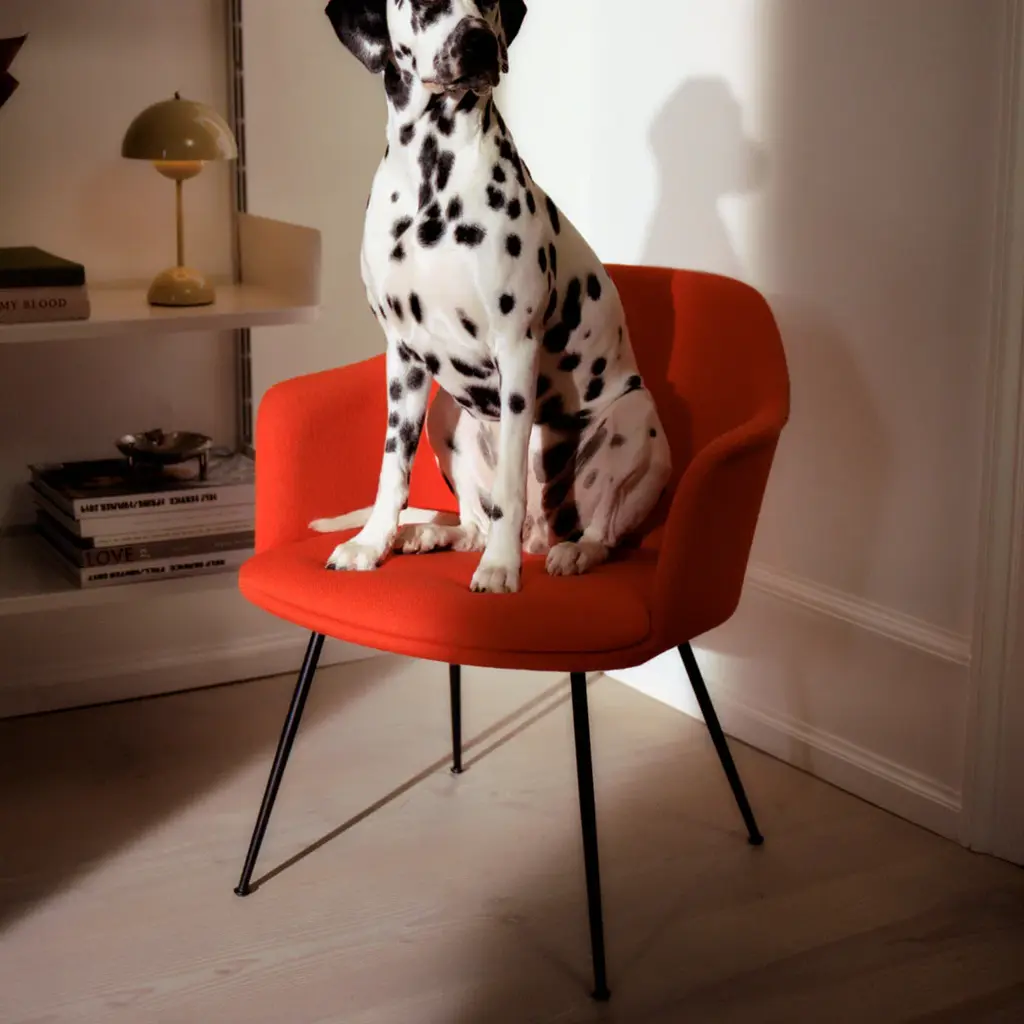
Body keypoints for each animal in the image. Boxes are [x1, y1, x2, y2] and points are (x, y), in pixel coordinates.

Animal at [311, 0, 672, 594]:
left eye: (491, 3)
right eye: (423, 3)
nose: (478, 42)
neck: (433, 177)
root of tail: (540, 533)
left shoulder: (517, 348)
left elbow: (510, 485)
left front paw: (501, 569)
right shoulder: (403, 357)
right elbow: (392, 470)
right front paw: (370, 543)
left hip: (635, 417)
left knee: (603, 529)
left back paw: (570, 553)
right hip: (445, 414)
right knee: (472, 524)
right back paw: (426, 535)